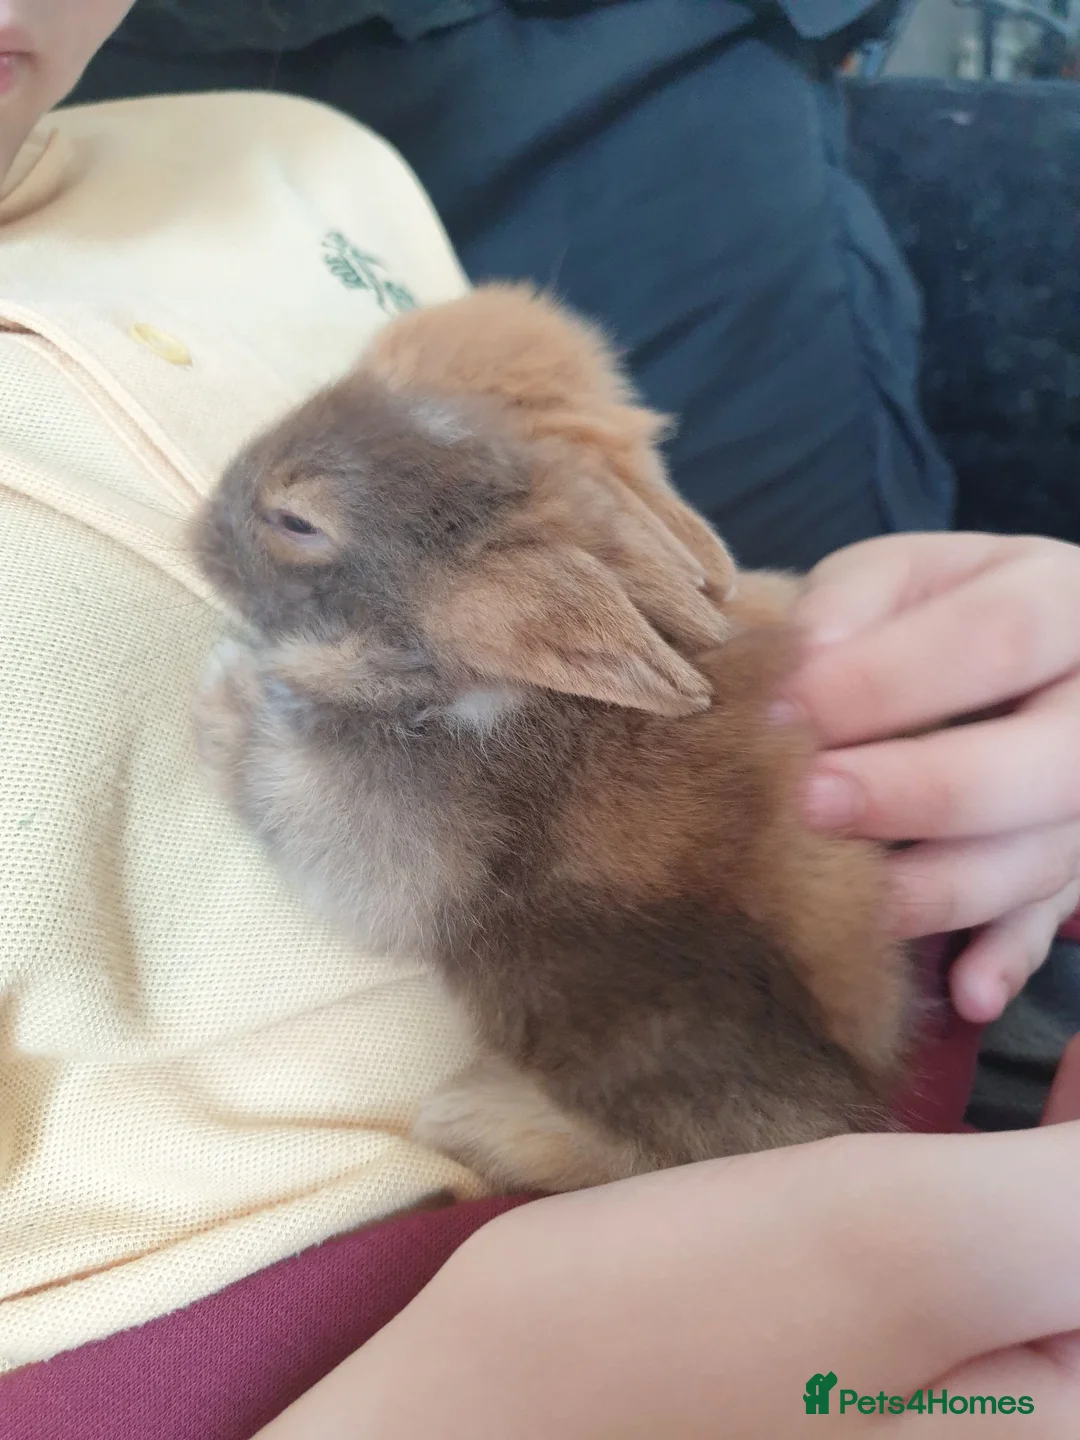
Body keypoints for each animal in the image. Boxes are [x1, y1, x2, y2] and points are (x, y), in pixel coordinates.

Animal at [191, 284, 915, 1193]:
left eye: (294, 520)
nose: (197, 528)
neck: (477, 687)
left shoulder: (386, 837)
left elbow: (287, 791)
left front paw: (226, 693)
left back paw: (469, 1119)